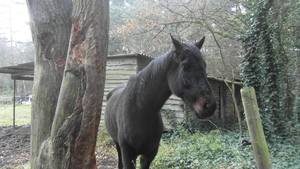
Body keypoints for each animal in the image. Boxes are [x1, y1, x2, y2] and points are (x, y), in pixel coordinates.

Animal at [105, 35, 216, 168]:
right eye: (185, 66)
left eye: (204, 65)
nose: (209, 105)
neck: (140, 110)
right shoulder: (128, 154)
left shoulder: (150, 154)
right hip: (117, 144)